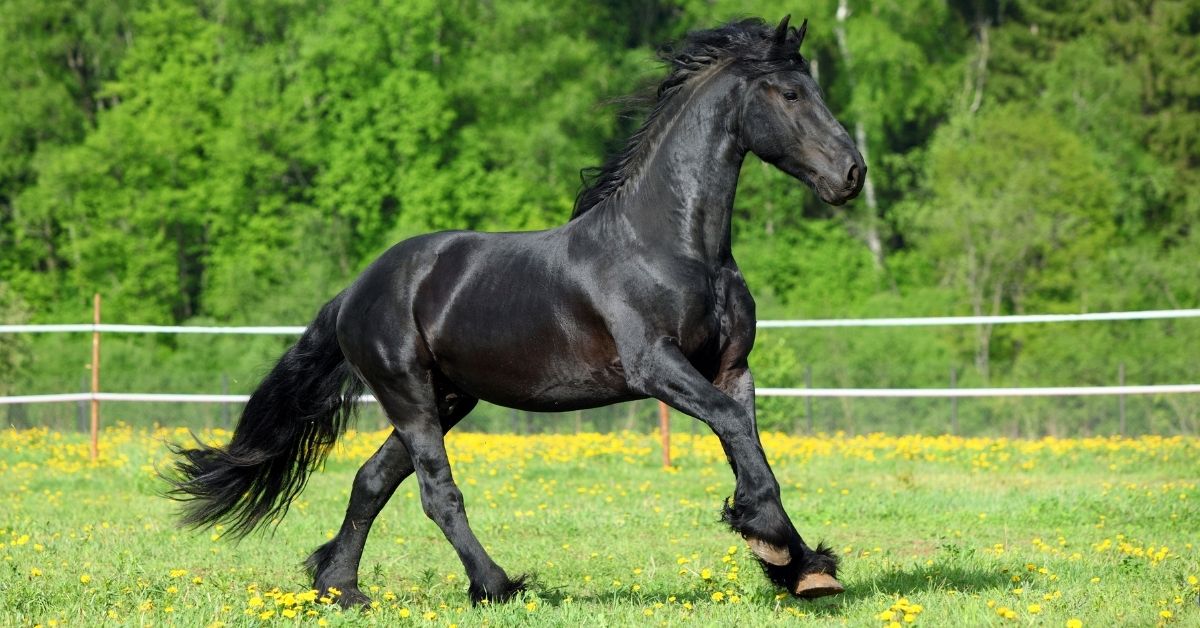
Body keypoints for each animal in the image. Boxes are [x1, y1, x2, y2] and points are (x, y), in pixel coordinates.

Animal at [169, 17, 864, 609]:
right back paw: (495, 585)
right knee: (436, 492)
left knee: (372, 479)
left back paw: (340, 587)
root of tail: (355, 291)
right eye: (790, 94)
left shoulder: (729, 367)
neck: (671, 244)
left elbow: (746, 439)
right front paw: (771, 541)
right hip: (409, 394)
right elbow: (735, 430)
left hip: (447, 397)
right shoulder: (657, 367)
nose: (852, 174)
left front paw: (802, 566)